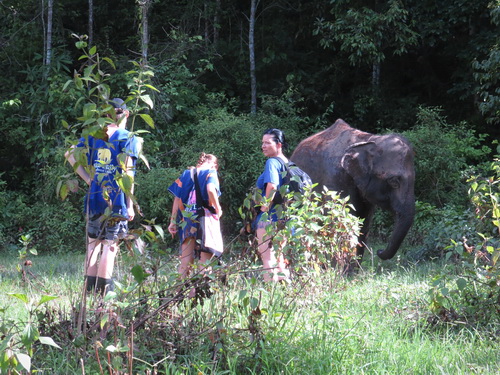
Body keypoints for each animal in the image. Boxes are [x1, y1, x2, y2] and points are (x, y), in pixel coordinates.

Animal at [290, 119, 414, 260]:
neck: (368, 140)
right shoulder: (335, 179)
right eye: (394, 182)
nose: (379, 251)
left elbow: (363, 225)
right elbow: (339, 222)